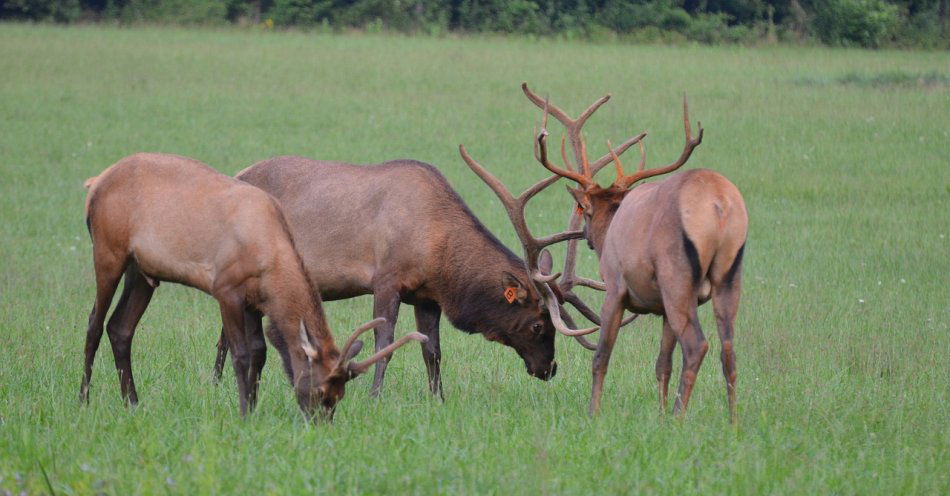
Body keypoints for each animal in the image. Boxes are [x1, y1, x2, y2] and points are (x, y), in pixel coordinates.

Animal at [82, 152, 424, 418]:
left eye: (339, 396)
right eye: (321, 390)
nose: (319, 423)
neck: (268, 256)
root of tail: (95, 183)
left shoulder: (255, 301)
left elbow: (260, 352)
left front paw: (254, 406)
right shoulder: (226, 290)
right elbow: (241, 353)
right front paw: (245, 413)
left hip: (142, 271)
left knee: (120, 327)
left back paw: (133, 403)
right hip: (108, 251)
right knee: (95, 323)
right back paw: (83, 398)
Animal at [215, 156, 588, 400]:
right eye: (538, 325)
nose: (549, 368)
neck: (438, 253)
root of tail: (238, 173)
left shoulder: (426, 296)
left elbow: (432, 351)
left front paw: (438, 399)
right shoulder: (386, 280)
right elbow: (385, 343)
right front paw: (374, 396)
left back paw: (219, 383)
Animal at [524, 84, 748, 422]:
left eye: (585, 211)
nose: (588, 238)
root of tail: (719, 204)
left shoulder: (615, 288)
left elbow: (601, 356)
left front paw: (593, 413)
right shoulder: (663, 309)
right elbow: (662, 364)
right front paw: (659, 414)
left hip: (677, 278)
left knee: (697, 346)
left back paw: (679, 419)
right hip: (728, 275)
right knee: (729, 351)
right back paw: (733, 423)